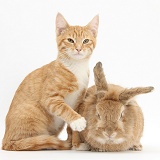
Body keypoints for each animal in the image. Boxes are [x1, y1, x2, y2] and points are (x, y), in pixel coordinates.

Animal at [2, 13, 99, 151]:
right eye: (70, 40)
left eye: (86, 41)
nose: (79, 49)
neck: (76, 67)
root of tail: (5, 140)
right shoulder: (50, 98)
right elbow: (65, 108)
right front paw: (77, 121)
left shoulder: (78, 101)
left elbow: (73, 126)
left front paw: (77, 144)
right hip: (32, 112)